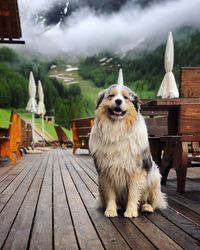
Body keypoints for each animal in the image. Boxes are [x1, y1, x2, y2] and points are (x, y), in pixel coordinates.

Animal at [89, 84, 167, 217]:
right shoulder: (106, 172)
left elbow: (133, 193)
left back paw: (147, 207)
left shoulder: (136, 171)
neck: (116, 130)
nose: (118, 101)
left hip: (154, 177)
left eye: (125, 97)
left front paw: (130, 211)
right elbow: (110, 195)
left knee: (152, 200)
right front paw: (111, 210)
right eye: (111, 96)